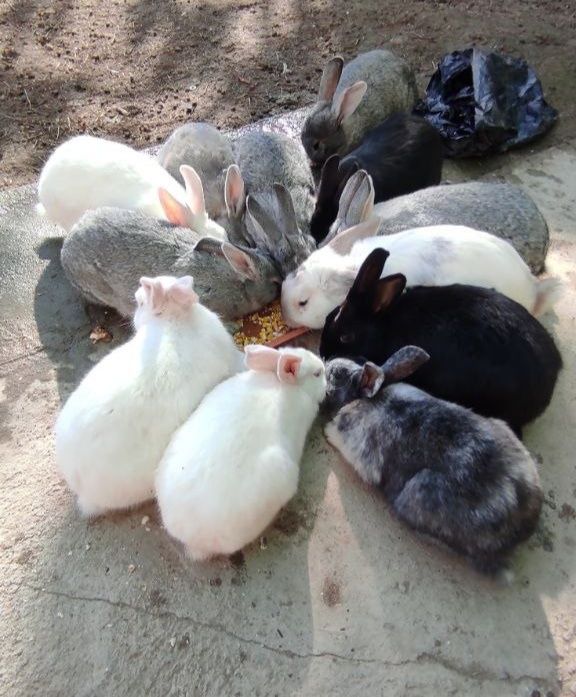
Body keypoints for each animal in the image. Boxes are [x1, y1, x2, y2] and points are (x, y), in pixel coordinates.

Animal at [323, 347, 543, 577]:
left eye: (335, 376)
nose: (326, 362)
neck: (367, 400)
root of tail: (523, 524)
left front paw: (327, 432)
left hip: (417, 493)